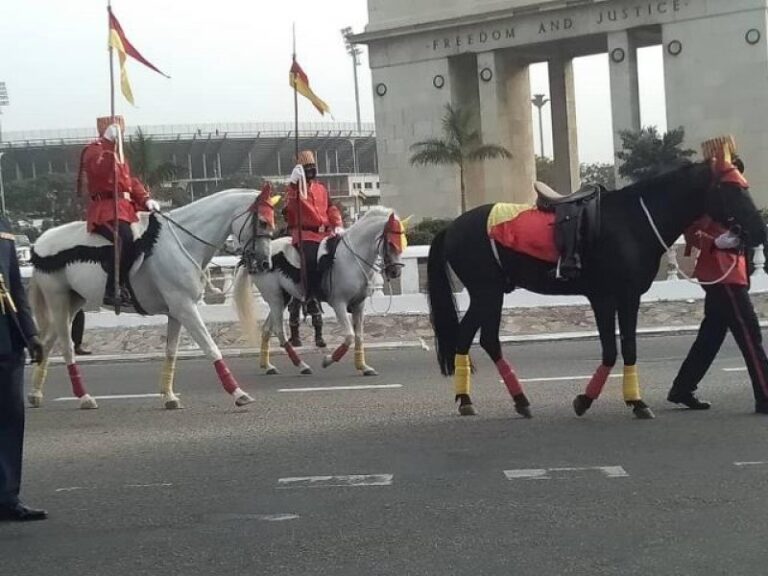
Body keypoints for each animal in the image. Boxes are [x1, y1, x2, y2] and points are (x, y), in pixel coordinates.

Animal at [27, 188, 280, 410]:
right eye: (263, 222)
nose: (265, 263)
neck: (182, 242)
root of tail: (39, 244)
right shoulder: (185, 307)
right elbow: (211, 348)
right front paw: (238, 393)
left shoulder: (176, 310)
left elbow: (171, 351)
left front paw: (168, 396)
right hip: (58, 300)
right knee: (66, 346)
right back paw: (83, 397)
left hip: (74, 301)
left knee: (48, 342)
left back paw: (35, 393)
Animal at [234, 207, 412, 378]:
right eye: (390, 243)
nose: (395, 272)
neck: (352, 260)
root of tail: (254, 259)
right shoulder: (339, 304)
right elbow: (349, 336)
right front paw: (328, 360)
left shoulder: (358, 305)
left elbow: (359, 337)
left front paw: (363, 367)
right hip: (275, 298)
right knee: (279, 331)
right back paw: (302, 365)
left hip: (282, 298)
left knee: (266, 329)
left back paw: (268, 366)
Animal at [428, 162, 764, 418]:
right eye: (731, 189)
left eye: (744, 186)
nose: (760, 230)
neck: (633, 221)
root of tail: (452, 226)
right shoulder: (614, 297)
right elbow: (619, 349)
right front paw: (623, 401)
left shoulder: (617, 298)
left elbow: (619, 348)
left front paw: (604, 400)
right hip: (487, 292)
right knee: (476, 338)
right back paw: (486, 400)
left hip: (490, 293)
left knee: (477, 338)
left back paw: (503, 400)